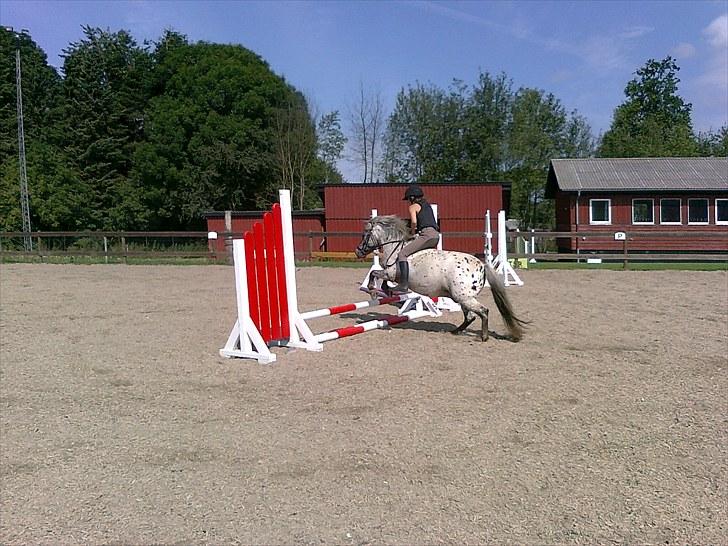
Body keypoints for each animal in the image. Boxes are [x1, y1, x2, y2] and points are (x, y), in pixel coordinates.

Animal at [356, 214, 528, 338]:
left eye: (365, 234)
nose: (358, 251)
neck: (394, 247)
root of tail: (482, 266)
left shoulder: (390, 274)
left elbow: (374, 274)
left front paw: (372, 290)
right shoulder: (391, 275)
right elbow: (382, 281)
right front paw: (384, 291)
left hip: (463, 297)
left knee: (483, 311)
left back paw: (483, 337)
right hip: (461, 297)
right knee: (470, 316)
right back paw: (456, 331)